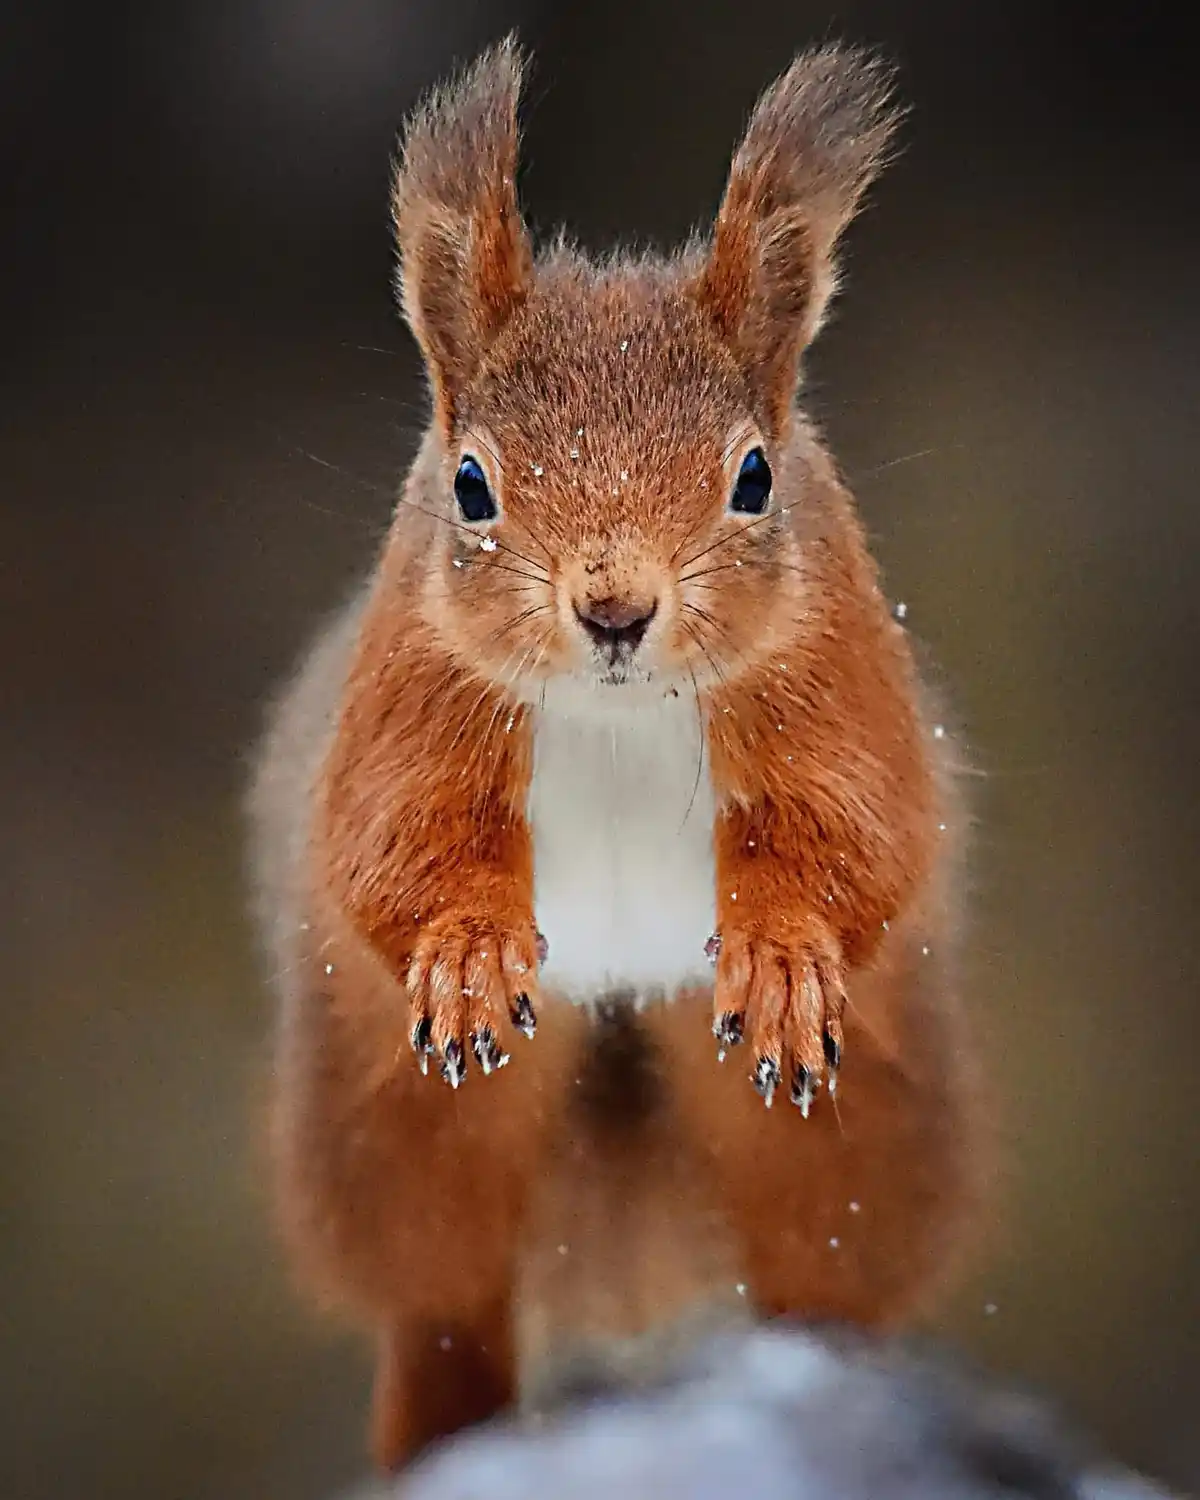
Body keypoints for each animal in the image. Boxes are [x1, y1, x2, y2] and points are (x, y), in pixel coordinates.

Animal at [248, 37, 985, 1475]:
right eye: (470, 486)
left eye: (755, 477)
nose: (614, 610)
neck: (622, 707)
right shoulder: (408, 701)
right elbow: (387, 843)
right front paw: (467, 955)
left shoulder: (842, 689)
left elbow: (862, 832)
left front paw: (785, 957)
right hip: (411, 1154)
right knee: (447, 1313)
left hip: (842, 1152)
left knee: (817, 1290)